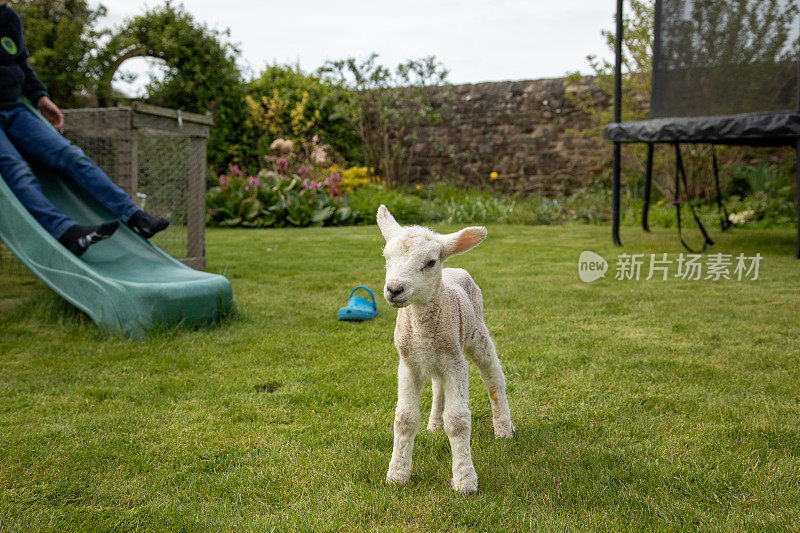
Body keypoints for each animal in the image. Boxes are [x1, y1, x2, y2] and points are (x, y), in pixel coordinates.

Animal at [376, 205, 512, 494]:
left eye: (430, 263)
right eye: (386, 258)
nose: (394, 290)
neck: (421, 325)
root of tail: (455, 268)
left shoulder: (455, 362)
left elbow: (458, 420)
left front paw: (465, 480)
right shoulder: (408, 363)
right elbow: (404, 419)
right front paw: (397, 474)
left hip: (477, 334)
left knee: (494, 378)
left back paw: (504, 428)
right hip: (438, 359)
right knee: (438, 386)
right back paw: (434, 425)